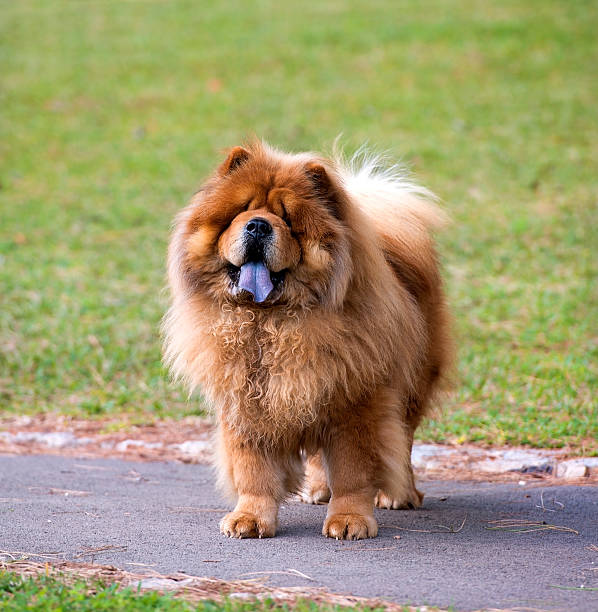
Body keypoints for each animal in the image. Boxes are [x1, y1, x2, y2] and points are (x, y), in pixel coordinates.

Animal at [162, 142, 452, 540]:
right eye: (241, 211)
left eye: (287, 219)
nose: (257, 225)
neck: (269, 325)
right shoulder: (249, 403)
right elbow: (253, 471)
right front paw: (249, 518)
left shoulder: (356, 404)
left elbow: (353, 470)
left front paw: (350, 520)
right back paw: (316, 489)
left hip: (410, 385)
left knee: (403, 439)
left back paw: (400, 495)